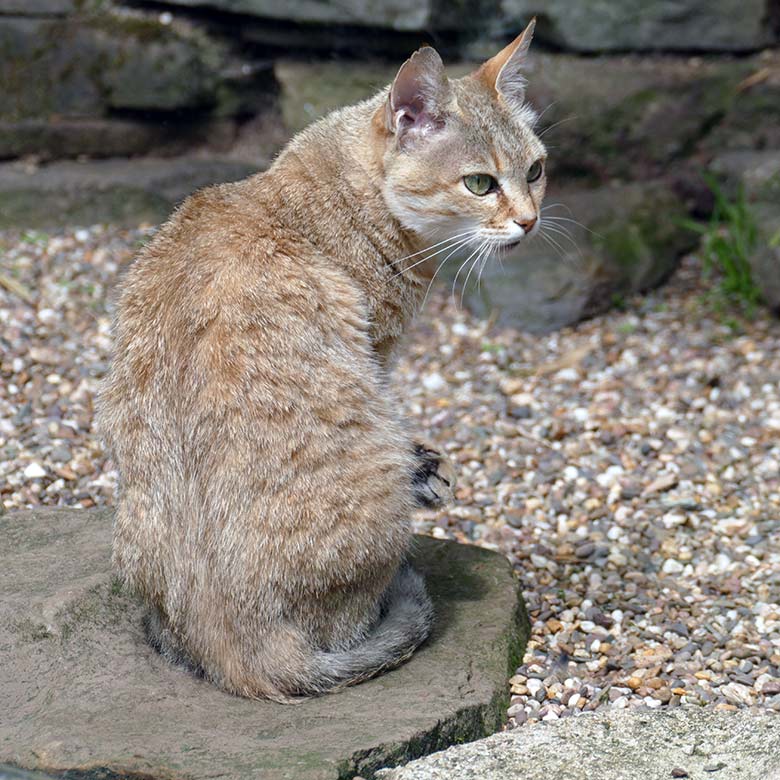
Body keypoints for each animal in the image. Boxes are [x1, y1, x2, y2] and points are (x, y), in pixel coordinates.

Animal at [97, 19, 548, 700]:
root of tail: (243, 652)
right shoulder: (377, 357)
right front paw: (426, 470)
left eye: (537, 170)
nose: (530, 220)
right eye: (479, 184)